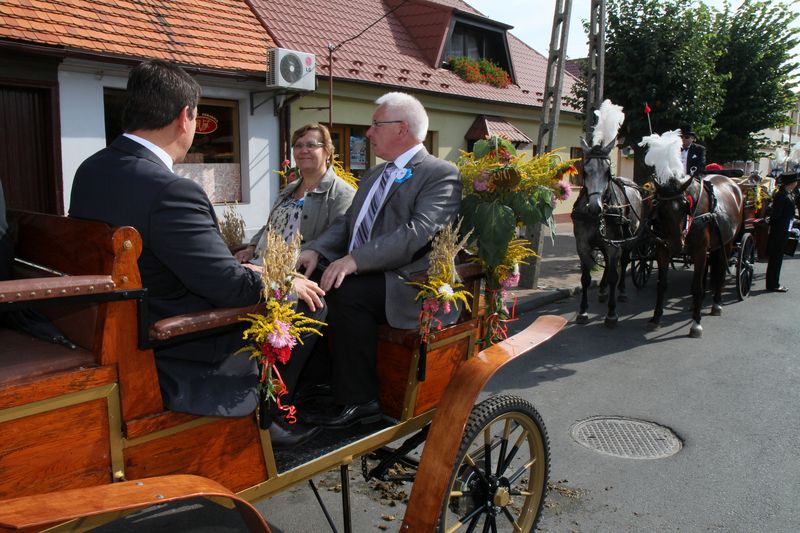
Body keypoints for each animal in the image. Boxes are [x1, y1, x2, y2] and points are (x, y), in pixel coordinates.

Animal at [648, 175, 744, 336]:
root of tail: (732, 181)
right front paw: (656, 318)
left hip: (727, 242)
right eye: (660, 209)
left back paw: (716, 304)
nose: (676, 245)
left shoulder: (700, 251)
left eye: (684, 207)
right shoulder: (662, 249)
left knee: (720, 273)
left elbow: (697, 287)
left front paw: (696, 323)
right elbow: (661, 284)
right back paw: (695, 305)